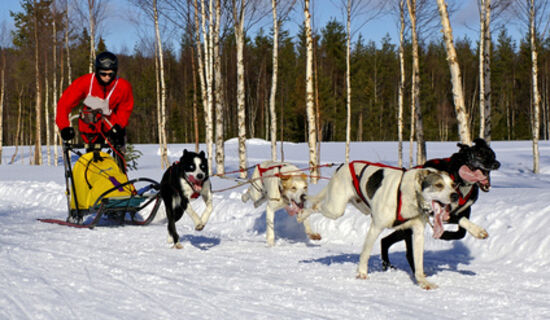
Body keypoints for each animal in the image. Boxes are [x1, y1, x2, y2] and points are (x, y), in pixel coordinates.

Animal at [300, 162, 460, 290]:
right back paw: (302, 215)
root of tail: (343, 165)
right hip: (335, 209)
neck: (408, 195)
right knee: (315, 206)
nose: (455, 196)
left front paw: (423, 281)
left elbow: (418, 262)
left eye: (453, 185)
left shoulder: (418, 233)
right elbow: (365, 253)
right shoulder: (375, 228)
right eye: (439, 185)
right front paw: (362, 273)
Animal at [382, 138, 502, 272]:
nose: (497, 164)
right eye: (479, 154)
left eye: (493, 155)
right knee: (406, 251)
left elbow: (461, 233)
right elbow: (458, 219)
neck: (460, 181)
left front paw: (446, 235)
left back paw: (388, 265)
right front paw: (476, 230)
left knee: (385, 241)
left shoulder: (466, 209)